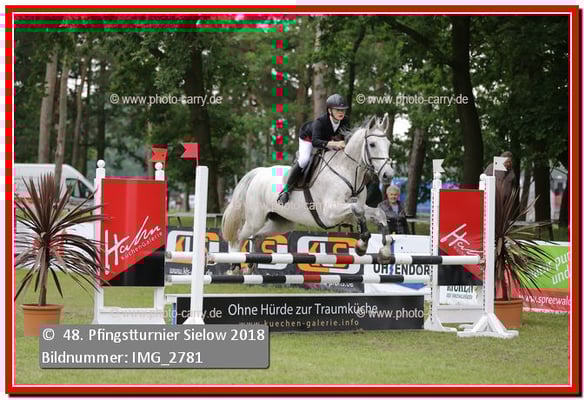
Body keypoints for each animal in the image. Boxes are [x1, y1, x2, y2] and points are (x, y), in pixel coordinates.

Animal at [221, 114, 395, 265]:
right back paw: (234, 267)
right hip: (254, 220)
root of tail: (259, 172)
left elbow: (376, 213)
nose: (388, 175)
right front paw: (361, 245)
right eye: (372, 144)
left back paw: (250, 267)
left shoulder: (347, 213)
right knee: (239, 238)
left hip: (282, 222)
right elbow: (358, 210)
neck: (347, 171)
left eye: (388, 144)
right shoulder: (330, 214)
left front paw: (385, 250)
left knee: (257, 237)